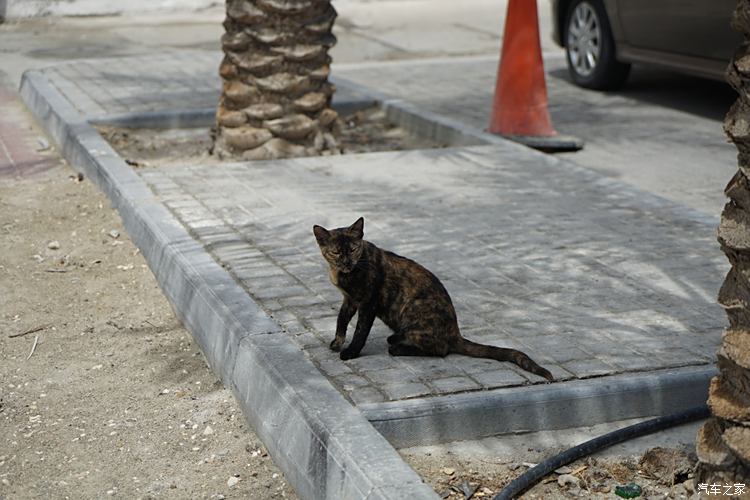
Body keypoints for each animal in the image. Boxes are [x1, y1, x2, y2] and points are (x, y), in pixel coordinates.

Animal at [314, 217, 556, 380]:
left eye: (354, 249)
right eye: (336, 252)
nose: (346, 262)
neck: (344, 273)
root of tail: (455, 332)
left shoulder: (368, 302)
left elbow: (360, 331)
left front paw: (350, 352)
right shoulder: (349, 300)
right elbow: (341, 320)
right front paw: (337, 343)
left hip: (413, 308)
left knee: (440, 349)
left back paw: (398, 346)